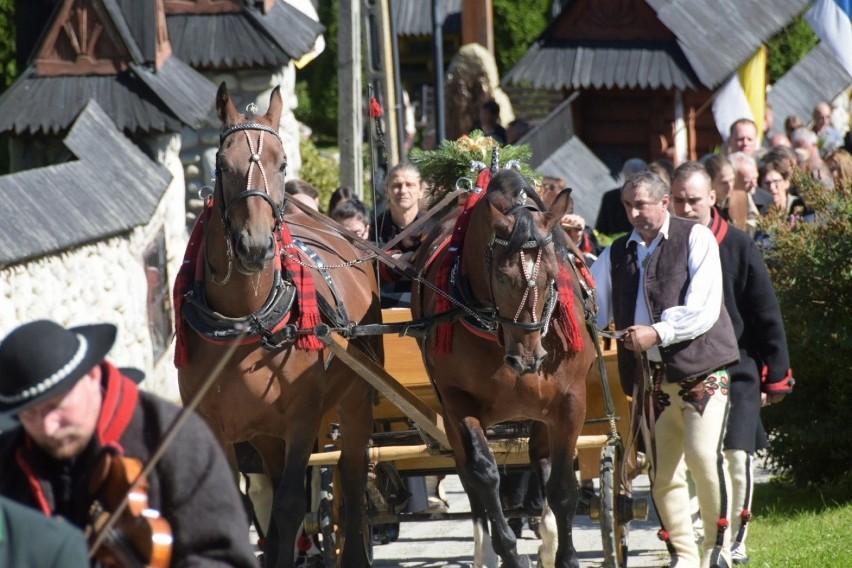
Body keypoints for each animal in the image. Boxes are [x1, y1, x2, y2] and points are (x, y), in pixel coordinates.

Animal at [176, 83, 382, 568]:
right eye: (221, 163)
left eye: (283, 162)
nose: (255, 247)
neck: (244, 321)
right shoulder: (215, 425)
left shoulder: (303, 417)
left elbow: (289, 506)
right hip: (265, 432)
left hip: (356, 396)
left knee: (351, 473)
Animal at [412, 169, 596, 568]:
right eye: (501, 276)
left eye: (552, 274)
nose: (527, 358)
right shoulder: (456, 401)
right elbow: (483, 473)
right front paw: (507, 549)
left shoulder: (569, 401)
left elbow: (562, 485)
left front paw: (565, 555)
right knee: (470, 476)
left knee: (541, 461)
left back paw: (548, 537)